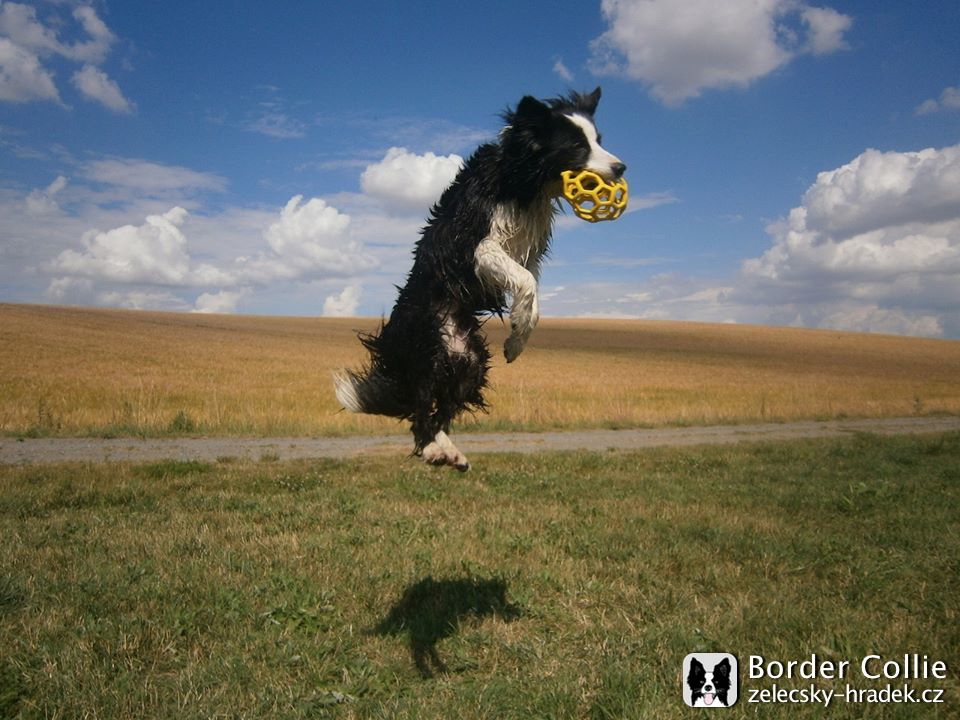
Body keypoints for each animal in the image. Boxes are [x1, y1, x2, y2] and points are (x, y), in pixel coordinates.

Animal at [334, 88, 628, 472]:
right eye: (577, 145)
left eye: (598, 140)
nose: (622, 167)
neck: (520, 183)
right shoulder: (475, 244)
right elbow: (524, 281)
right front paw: (517, 328)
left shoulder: (529, 253)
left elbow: (533, 293)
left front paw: (518, 339)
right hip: (424, 348)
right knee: (420, 409)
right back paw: (432, 451)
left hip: (470, 362)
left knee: (442, 410)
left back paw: (450, 453)